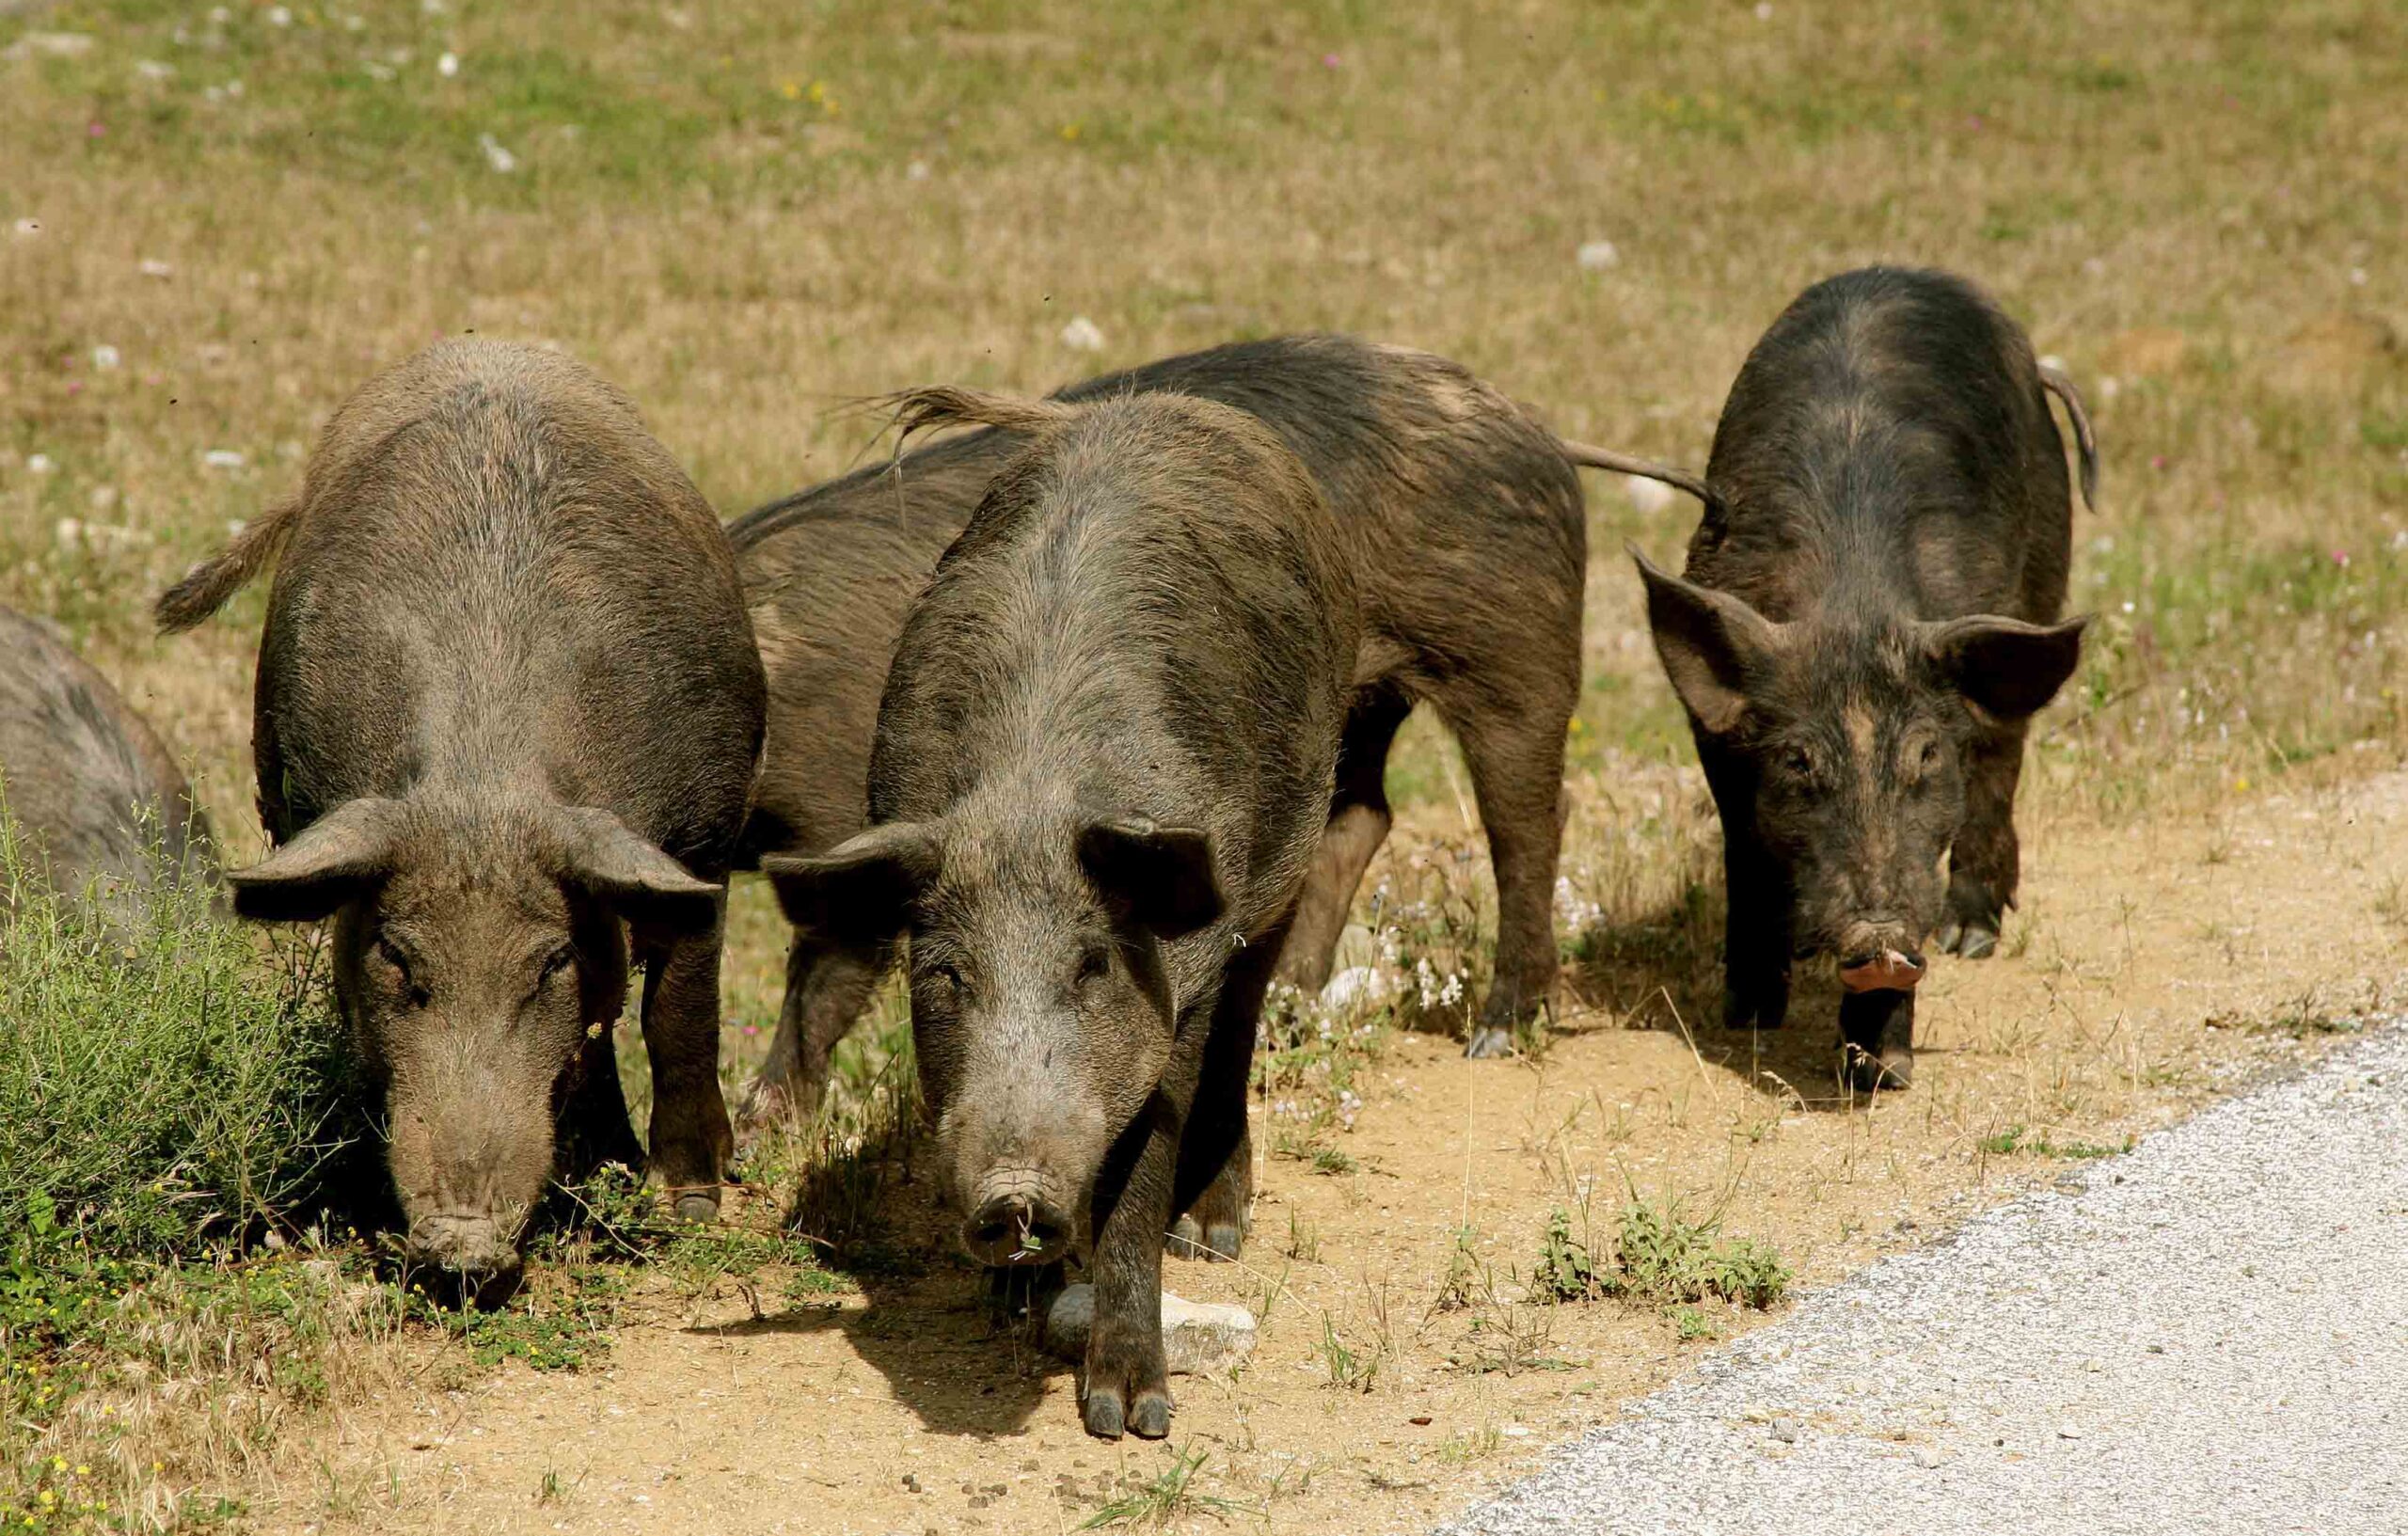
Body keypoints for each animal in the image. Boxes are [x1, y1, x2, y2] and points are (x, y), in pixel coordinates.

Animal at [157, 341, 760, 1290]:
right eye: (398, 956)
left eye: (550, 961)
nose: (462, 1245)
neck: (485, 782)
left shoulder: (706, 833)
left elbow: (678, 1009)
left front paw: (691, 1206)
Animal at [732, 337, 1598, 1155]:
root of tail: (1527, 422)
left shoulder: (838, 804)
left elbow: (826, 968)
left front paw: (756, 1136)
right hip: (1360, 704)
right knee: (1360, 818)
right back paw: (1288, 1017)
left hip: (1512, 650)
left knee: (1529, 812)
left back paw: (1494, 1035)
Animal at [1627, 270, 2099, 1087]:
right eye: (1797, 761)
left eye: (1926, 756)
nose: (1878, 940)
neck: (1852, 606)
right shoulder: (1717, 736)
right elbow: (1745, 849)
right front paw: (1751, 1013)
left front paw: (1883, 1070)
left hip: (2043, 561)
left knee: (2004, 752)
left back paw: (1971, 936)